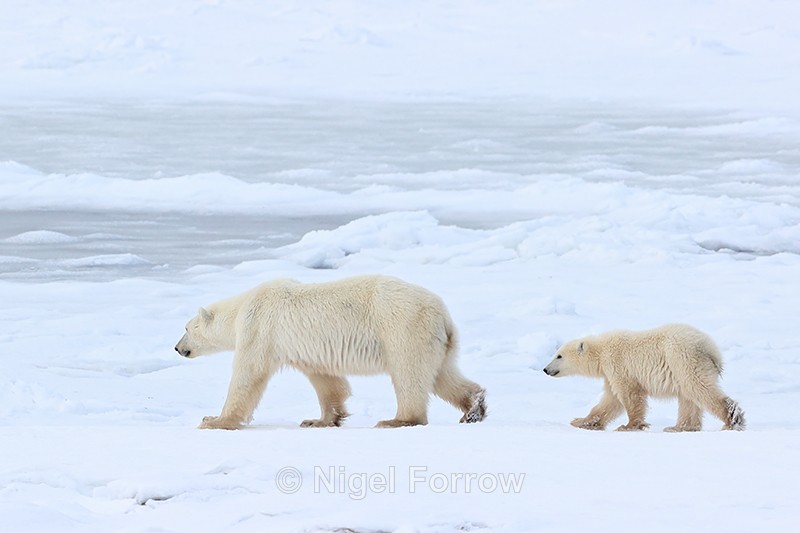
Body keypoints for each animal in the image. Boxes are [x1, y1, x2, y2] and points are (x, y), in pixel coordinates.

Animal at [175, 275, 487, 429]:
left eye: (187, 327)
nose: (178, 348)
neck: (241, 308)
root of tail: (443, 315)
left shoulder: (259, 329)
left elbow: (248, 376)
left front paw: (213, 420)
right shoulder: (307, 349)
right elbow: (326, 381)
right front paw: (319, 420)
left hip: (403, 327)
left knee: (409, 374)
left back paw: (396, 420)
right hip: (436, 341)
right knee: (443, 375)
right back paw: (474, 408)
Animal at [543, 324, 745, 432]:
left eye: (558, 356)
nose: (545, 369)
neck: (602, 351)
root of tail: (710, 348)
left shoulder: (618, 364)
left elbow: (629, 395)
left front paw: (629, 426)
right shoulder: (610, 373)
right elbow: (609, 401)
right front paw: (581, 421)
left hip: (682, 358)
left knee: (698, 388)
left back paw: (732, 420)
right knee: (688, 396)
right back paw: (679, 427)